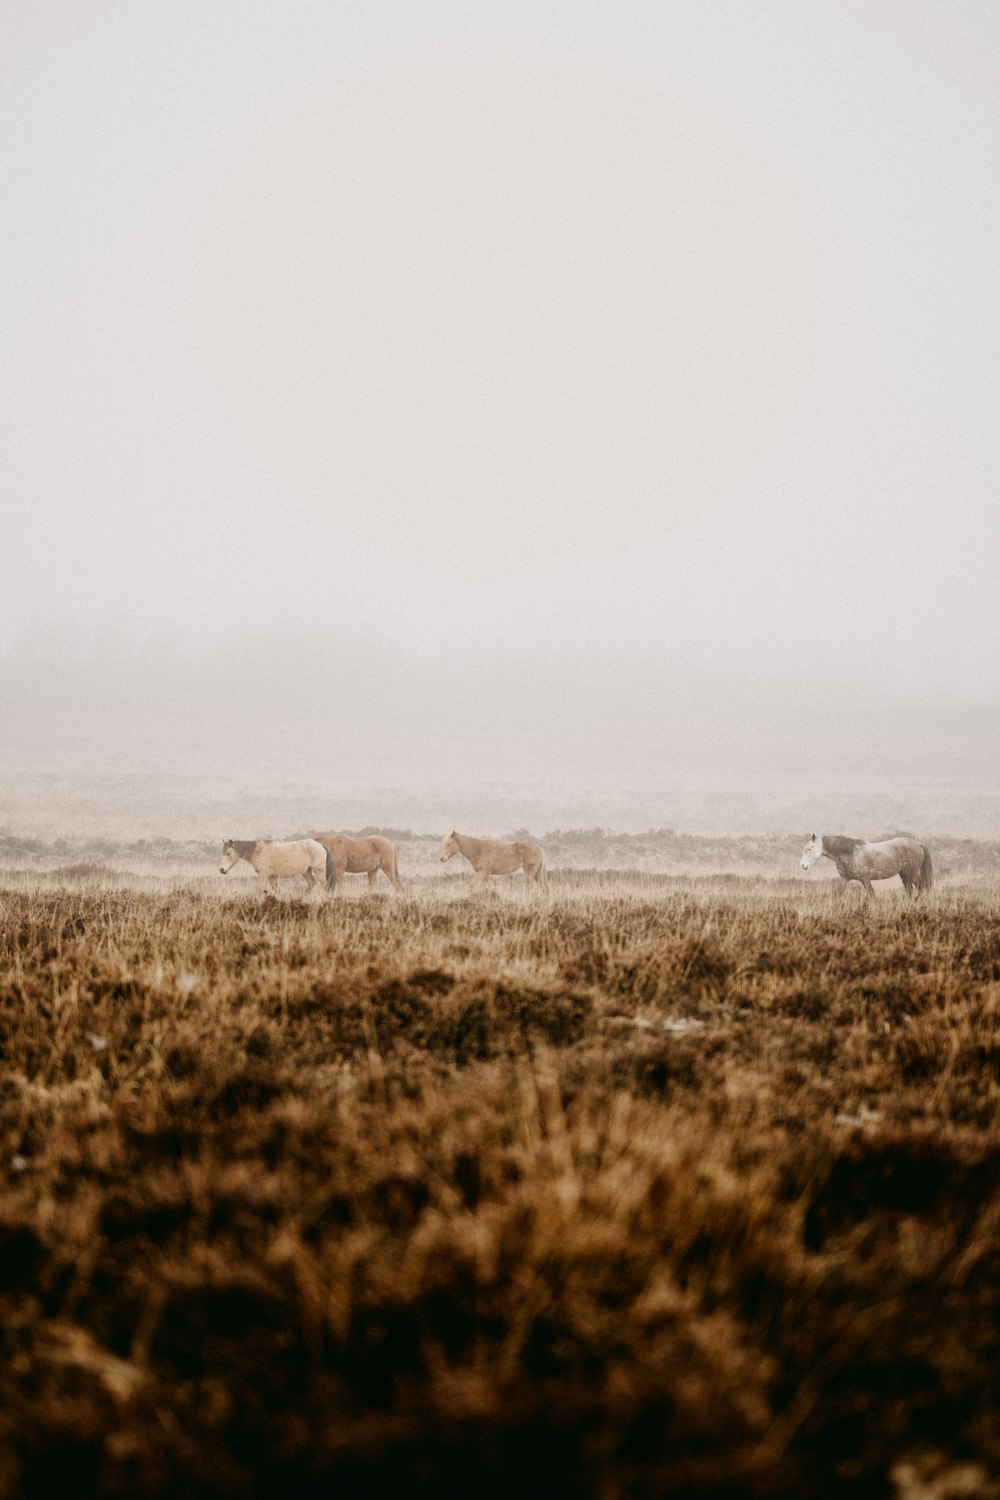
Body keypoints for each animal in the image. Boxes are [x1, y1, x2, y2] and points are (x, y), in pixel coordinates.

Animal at [803, 834, 935, 900]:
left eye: (809, 848)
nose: (803, 865)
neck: (850, 853)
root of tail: (918, 843)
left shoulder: (865, 880)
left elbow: (872, 895)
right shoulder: (845, 879)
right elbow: (838, 894)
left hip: (912, 874)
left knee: (922, 888)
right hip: (904, 875)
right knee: (910, 890)